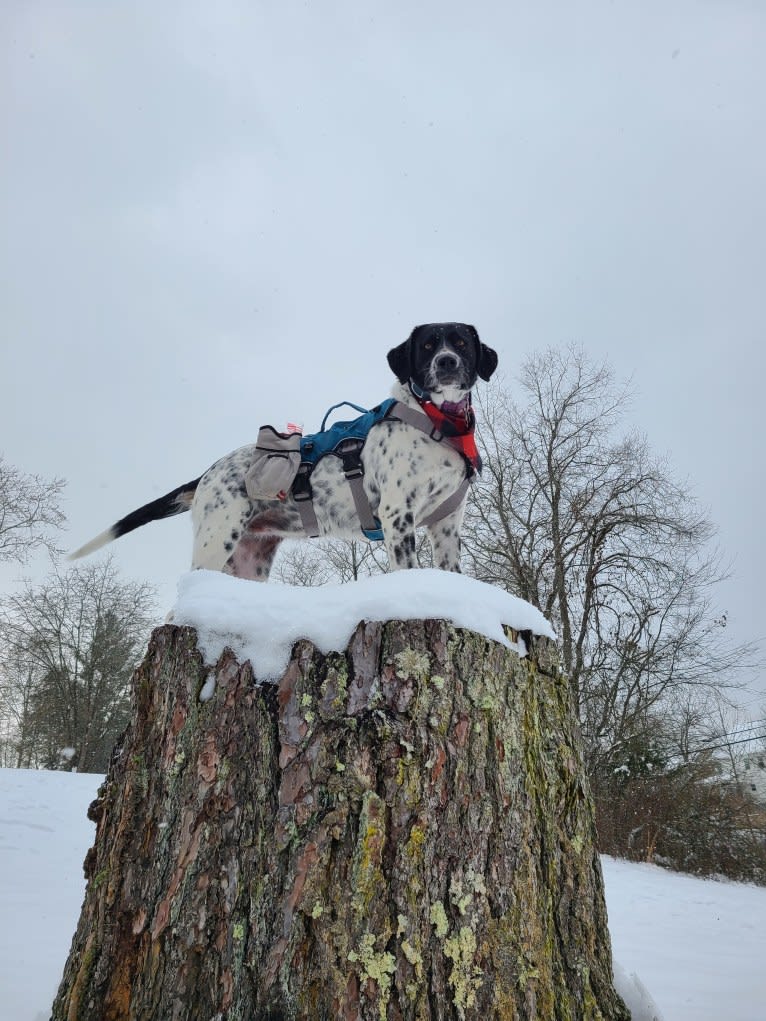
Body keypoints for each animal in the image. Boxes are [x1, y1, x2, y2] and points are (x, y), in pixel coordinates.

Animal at [72, 326, 500, 584]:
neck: (439, 422)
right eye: (427, 345)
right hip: (215, 543)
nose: (446, 362)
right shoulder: (398, 516)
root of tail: (209, 471)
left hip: (249, 560)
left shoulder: (447, 525)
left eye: (461, 343)